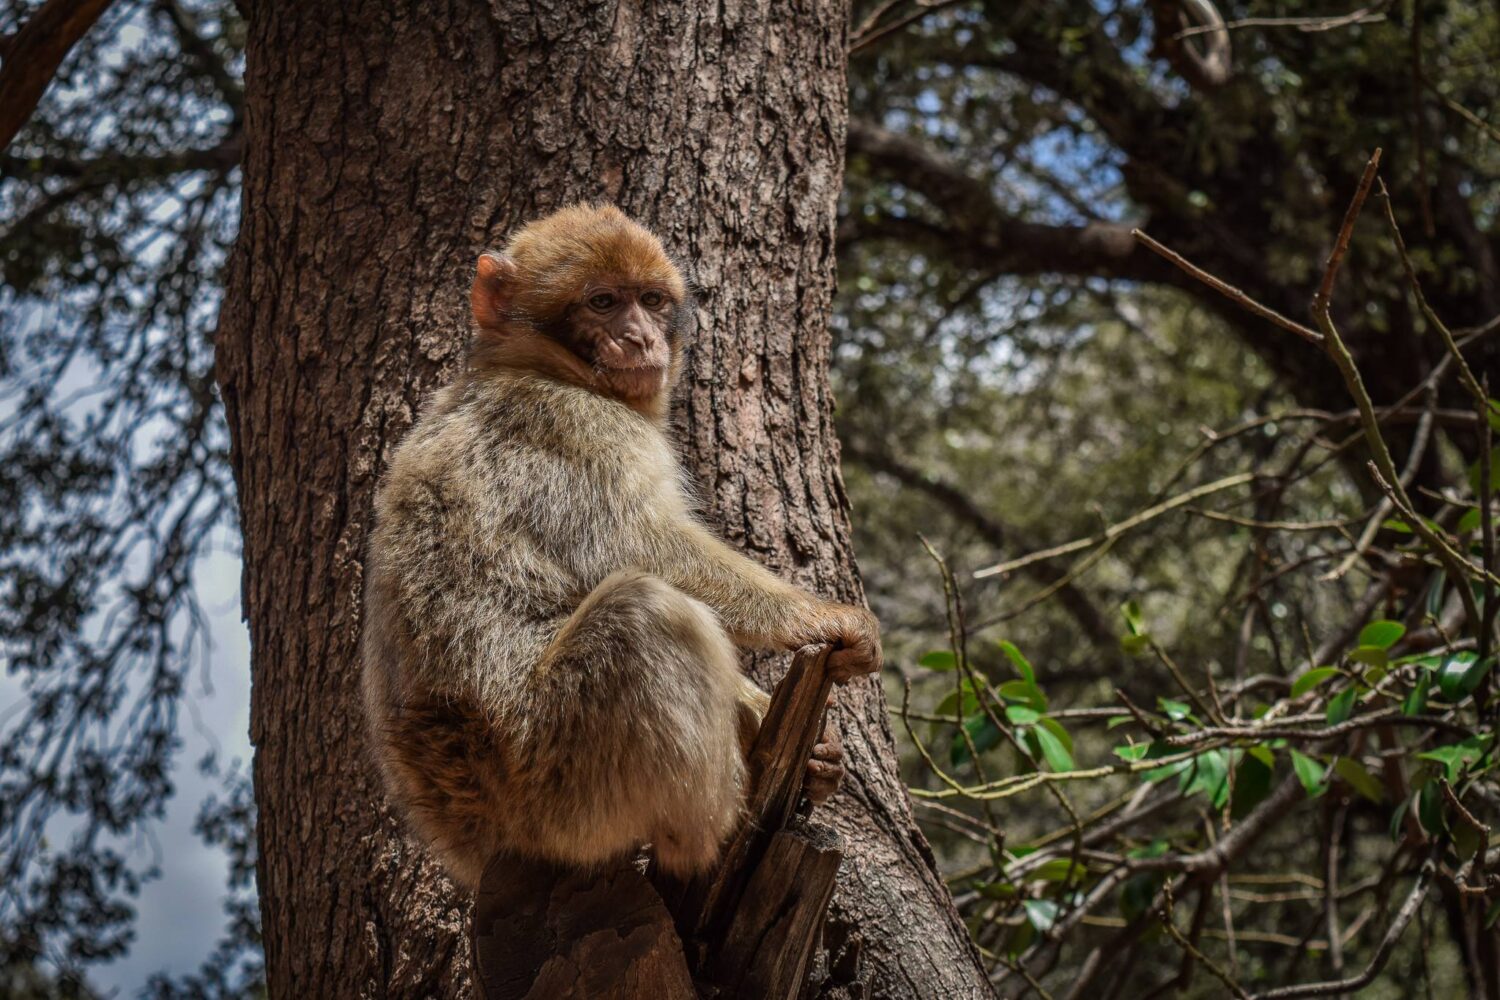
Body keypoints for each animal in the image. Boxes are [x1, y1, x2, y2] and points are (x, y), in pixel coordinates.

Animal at [361, 205, 876, 893]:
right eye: (602, 302)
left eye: (650, 300)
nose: (639, 338)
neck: (539, 364)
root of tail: (469, 838)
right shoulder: (575, 427)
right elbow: (641, 545)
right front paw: (820, 619)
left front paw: (799, 736)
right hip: (554, 782)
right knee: (649, 614)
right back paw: (710, 835)